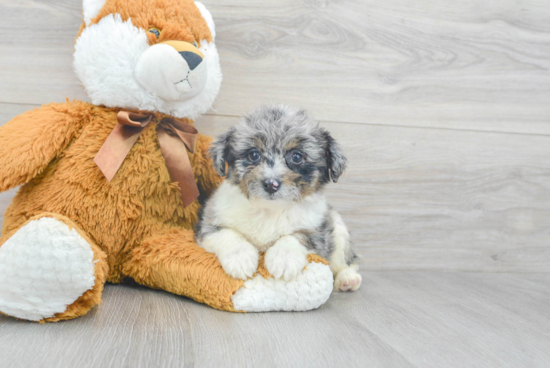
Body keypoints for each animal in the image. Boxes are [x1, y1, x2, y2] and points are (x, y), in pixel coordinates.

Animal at [197, 103, 362, 290]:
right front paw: (240, 258)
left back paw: (347, 278)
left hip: (339, 230)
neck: (270, 211)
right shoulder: (209, 224)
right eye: (253, 154)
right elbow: (228, 234)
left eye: (296, 156)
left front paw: (284, 258)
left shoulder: (318, 232)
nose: (271, 184)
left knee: (344, 261)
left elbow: (296, 235)